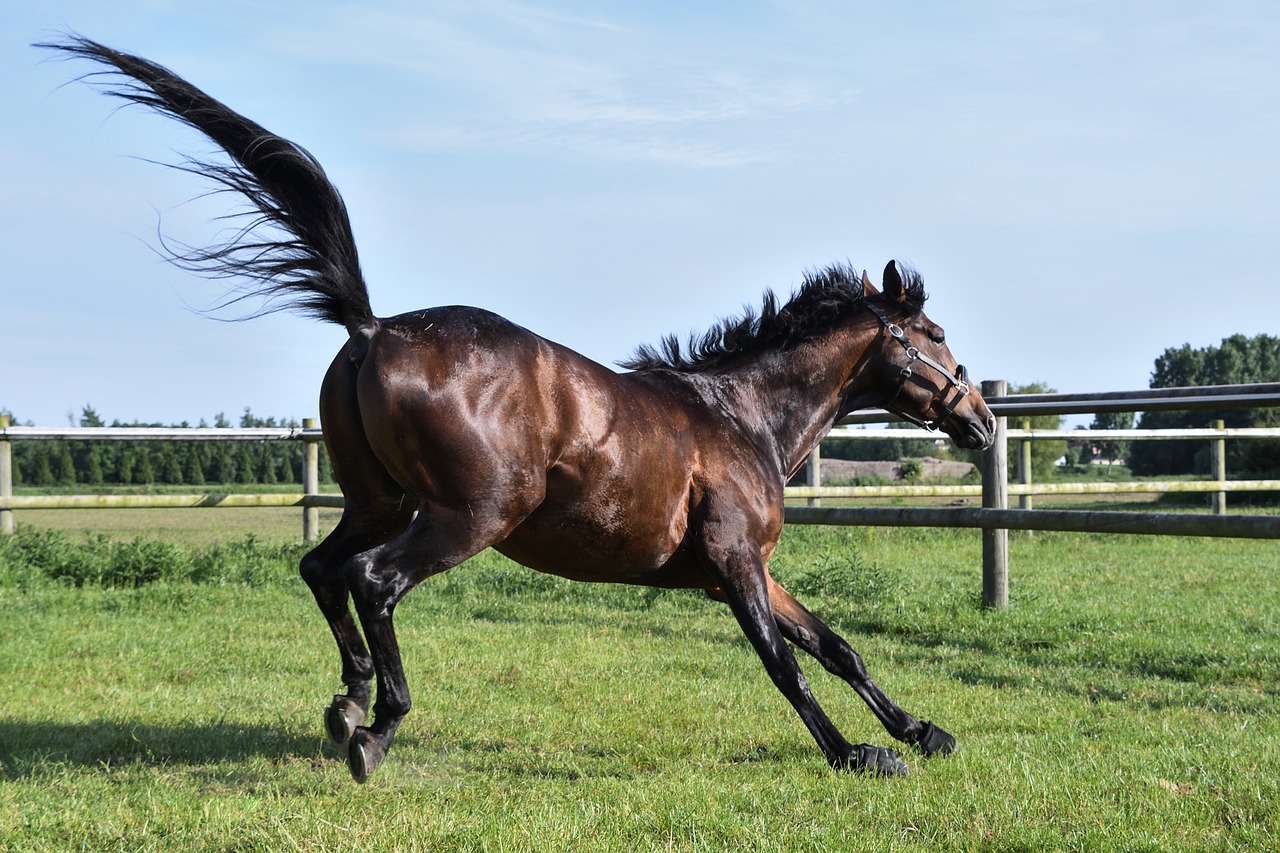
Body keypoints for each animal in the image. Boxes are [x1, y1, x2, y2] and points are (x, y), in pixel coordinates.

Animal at [42, 34, 998, 778]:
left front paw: (923, 730)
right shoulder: (732, 567)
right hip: (469, 514)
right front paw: (857, 753)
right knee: (373, 579)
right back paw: (376, 726)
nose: (983, 422)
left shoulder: (751, 570)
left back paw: (348, 698)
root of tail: (373, 328)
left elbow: (836, 646)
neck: (741, 417)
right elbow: (785, 665)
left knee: (323, 568)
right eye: (936, 333)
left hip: (379, 498)